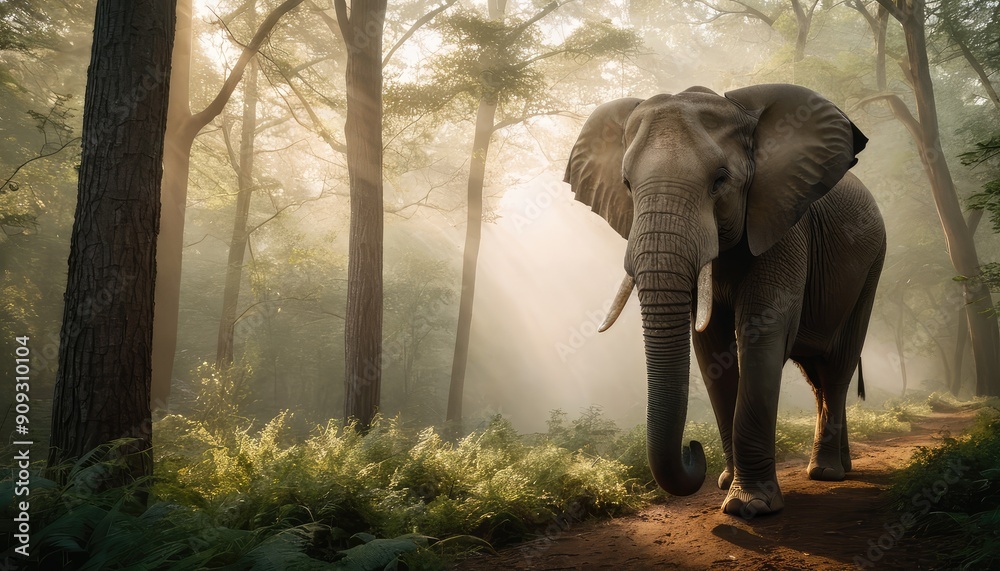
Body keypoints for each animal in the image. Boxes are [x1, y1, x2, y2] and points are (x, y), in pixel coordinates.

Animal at [563, 84, 885, 516]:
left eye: (719, 181)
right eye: (627, 185)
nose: (692, 448)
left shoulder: (783, 223)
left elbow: (762, 334)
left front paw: (750, 506)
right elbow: (710, 347)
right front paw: (726, 484)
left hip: (873, 265)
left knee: (837, 367)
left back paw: (826, 473)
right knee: (817, 375)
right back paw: (840, 466)